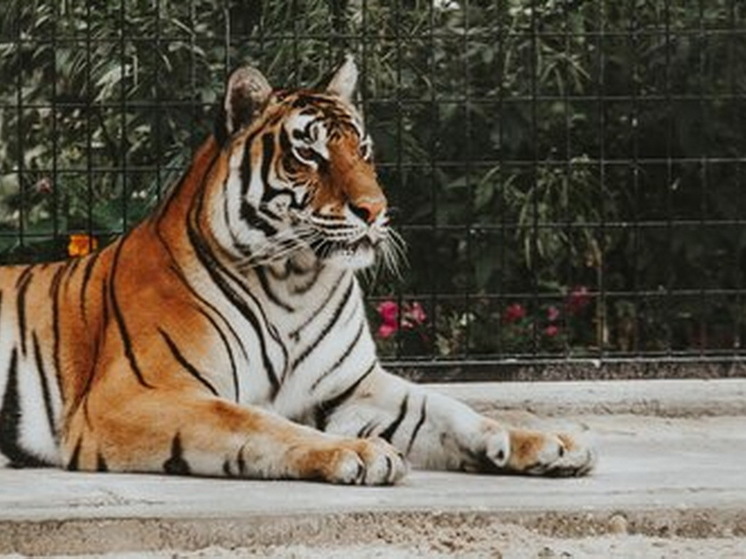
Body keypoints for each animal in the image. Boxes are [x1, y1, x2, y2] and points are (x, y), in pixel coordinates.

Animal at [0, 58, 592, 486]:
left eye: (364, 149)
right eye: (309, 154)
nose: (376, 210)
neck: (295, 282)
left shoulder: (353, 388)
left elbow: (451, 409)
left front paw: (546, 443)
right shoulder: (134, 396)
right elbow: (254, 420)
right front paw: (359, 452)